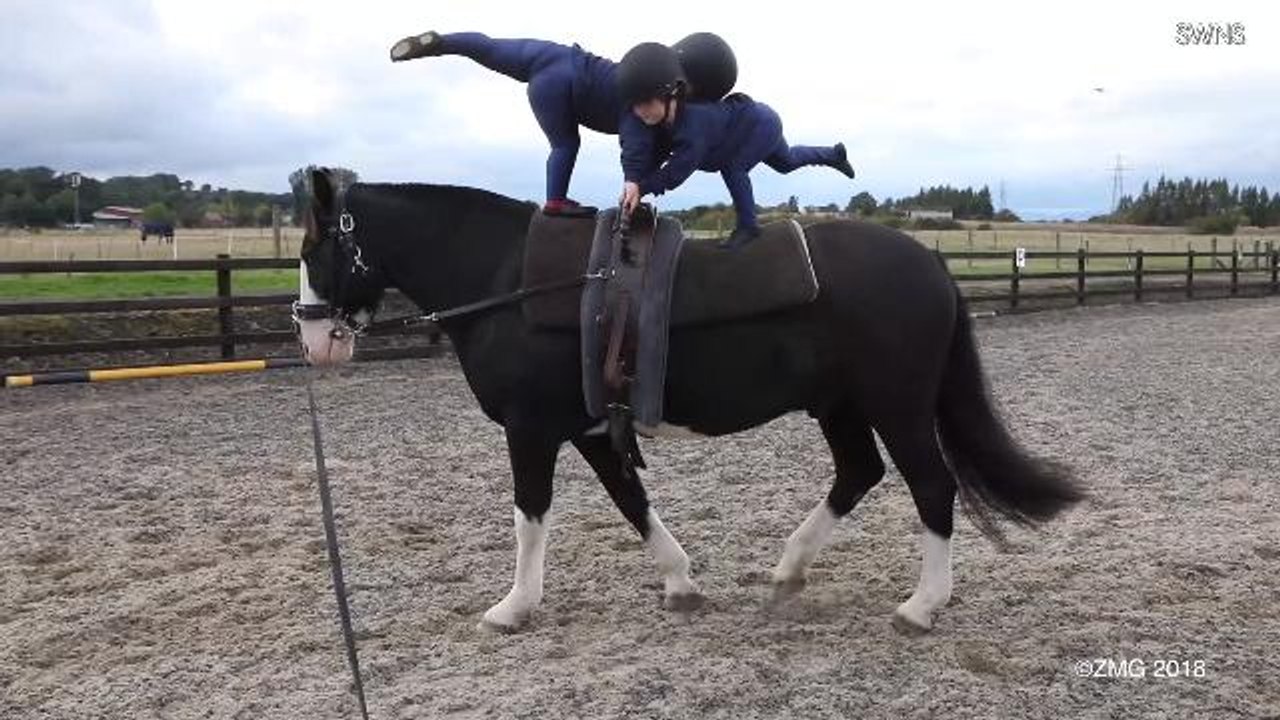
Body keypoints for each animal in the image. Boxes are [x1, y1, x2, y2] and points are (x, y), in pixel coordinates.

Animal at [294, 168, 1083, 634]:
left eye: (312, 250)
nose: (313, 342)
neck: (510, 281)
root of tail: (929, 263)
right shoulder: (589, 428)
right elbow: (631, 502)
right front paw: (679, 582)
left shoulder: (531, 430)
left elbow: (530, 518)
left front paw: (513, 608)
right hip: (839, 406)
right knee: (859, 472)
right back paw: (789, 569)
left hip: (899, 407)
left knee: (931, 486)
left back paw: (922, 605)